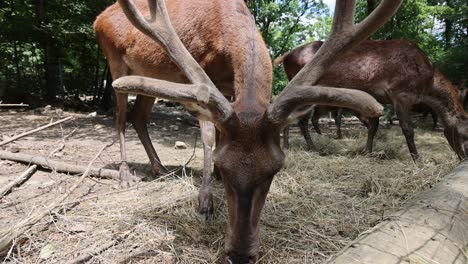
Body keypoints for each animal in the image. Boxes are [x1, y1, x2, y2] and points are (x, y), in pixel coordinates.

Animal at [95, 0, 402, 262]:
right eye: (225, 165)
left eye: (275, 169)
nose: (240, 256)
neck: (225, 28)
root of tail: (99, 19)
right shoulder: (202, 74)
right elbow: (209, 136)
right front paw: (205, 202)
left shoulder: (229, 88)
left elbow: (221, 133)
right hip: (115, 61)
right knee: (121, 117)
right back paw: (125, 174)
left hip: (150, 76)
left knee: (139, 117)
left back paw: (159, 167)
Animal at [276, 40, 466, 160]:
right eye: (465, 134)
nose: (464, 158)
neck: (426, 86)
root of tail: (286, 55)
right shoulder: (401, 93)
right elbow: (407, 129)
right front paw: (417, 159)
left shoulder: (377, 97)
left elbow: (373, 126)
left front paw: (368, 151)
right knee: (300, 120)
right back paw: (311, 147)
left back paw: (288, 145)